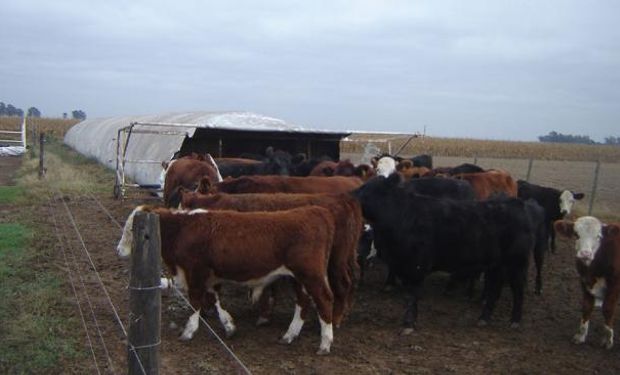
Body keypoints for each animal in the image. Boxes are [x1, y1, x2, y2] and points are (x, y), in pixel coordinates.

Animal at [116, 206, 340, 356]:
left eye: (131, 230)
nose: (118, 250)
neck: (183, 229)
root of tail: (314, 211)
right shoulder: (210, 275)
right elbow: (214, 299)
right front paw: (229, 325)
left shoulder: (196, 272)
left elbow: (196, 301)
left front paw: (189, 331)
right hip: (298, 278)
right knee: (302, 303)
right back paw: (290, 335)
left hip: (311, 275)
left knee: (325, 300)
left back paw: (325, 343)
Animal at [354, 175, 532, 334]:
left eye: (368, 188)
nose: (351, 194)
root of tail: (515, 202)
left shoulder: (417, 266)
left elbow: (412, 295)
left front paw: (409, 323)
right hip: (497, 266)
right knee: (494, 288)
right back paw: (484, 318)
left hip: (516, 264)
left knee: (518, 290)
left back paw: (515, 320)